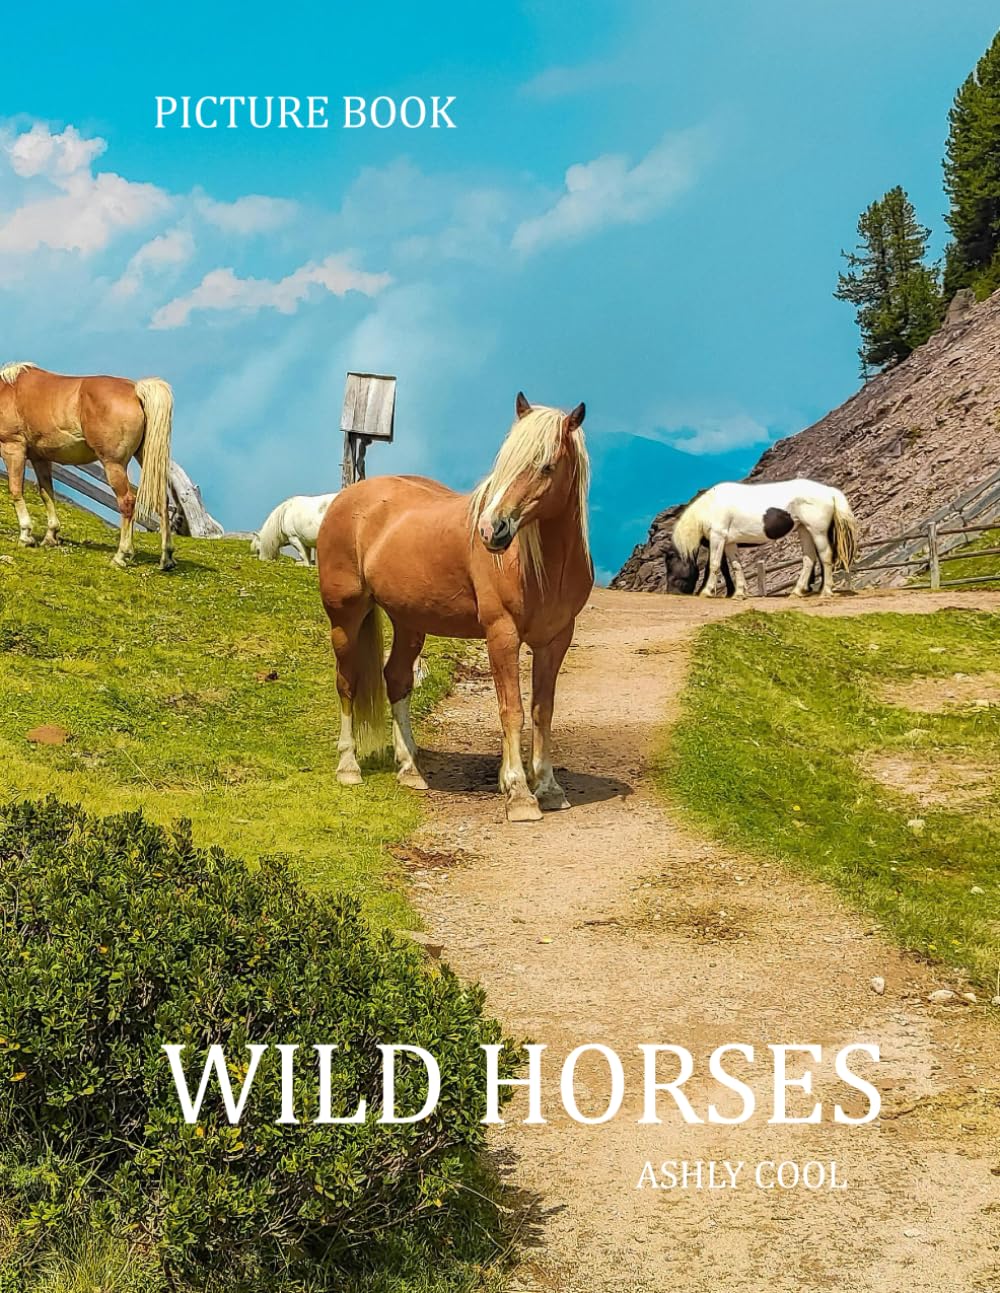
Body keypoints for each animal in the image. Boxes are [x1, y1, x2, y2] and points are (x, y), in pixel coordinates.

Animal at [0, 362, 175, 570]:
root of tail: (136, 390)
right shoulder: (41, 458)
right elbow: (47, 493)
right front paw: (51, 536)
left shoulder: (13, 448)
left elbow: (16, 490)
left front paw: (26, 536)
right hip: (147, 459)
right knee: (162, 500)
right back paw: (166, 558)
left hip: (113, 464)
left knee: (127, 502)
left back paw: (121, 555)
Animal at [317, 393, 592, 823]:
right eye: (504, 462)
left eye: (546, 466)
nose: (491, 530)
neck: (541, 566)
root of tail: (349, 498)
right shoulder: (502, 634)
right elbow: (511, 710)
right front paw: (519, 794)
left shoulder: (556, 639)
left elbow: (542, 711)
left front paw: (548, 788)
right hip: (345, 617)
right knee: (347, 682)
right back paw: (349, 767)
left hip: (409, 623)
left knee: (396, 679)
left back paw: (410, 769)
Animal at [665, 478, 859, 598]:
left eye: (672, 568)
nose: (671, 592)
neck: (710, 507)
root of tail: (829, 492)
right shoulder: (729, 543)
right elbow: (735, 566)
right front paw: (738, 593)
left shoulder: (717, 537)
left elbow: (713, 565)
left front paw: (706, 591)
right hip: (805, 530)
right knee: (809, 558)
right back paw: (798, 591)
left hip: (817, 531)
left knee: (825, 556)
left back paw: (825, 591)